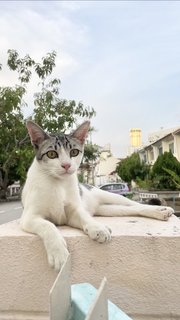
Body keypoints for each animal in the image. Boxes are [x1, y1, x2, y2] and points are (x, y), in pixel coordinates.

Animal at [20, 121, 174, 272]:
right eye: (51, 154)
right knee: (131, 210)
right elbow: (48, 225)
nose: (66, 165)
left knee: (136, 204)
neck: (59, 183)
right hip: (109, 210)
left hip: (110, 196)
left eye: (74, 152)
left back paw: (161, 210)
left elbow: (84, 217)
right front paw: (58, 253)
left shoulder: (73, 211)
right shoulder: (28, 217)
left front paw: (98, 228)